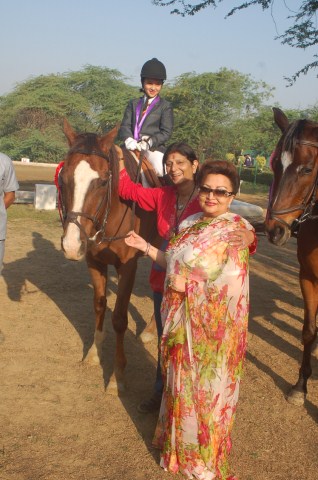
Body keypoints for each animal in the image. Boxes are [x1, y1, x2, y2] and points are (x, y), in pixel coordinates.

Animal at [58, 119, 159, 394]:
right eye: (63, 178)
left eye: (103, 182)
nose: (71, 245)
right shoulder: (94, 262)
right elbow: (99, 305)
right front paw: (94, 353)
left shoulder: (128, 267)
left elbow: (120, 319)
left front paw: (117, 375)